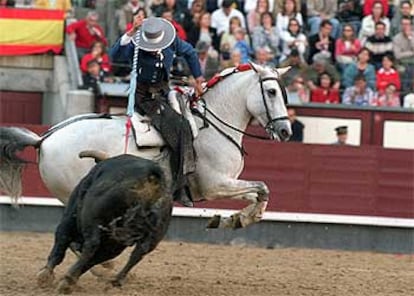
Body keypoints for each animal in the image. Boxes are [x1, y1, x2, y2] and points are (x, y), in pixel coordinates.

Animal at [0, 63, 292, 229]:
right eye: (272, 92)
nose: (286, 131)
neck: (213, 123)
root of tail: (45, 138)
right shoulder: (215, 184)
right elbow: (263, 187)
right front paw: (238, 219)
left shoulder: (228, 184)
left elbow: (260, 193)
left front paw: (236, 219)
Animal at [38, 153, 173, 294]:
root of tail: (151, 174)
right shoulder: (111, 245)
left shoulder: (68, 219)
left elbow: (60, 245)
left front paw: (45, 276)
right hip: (148, 237)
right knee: (137, 254)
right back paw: (115, 280)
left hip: (92, 216)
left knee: (91, 244)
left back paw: (67, 279)